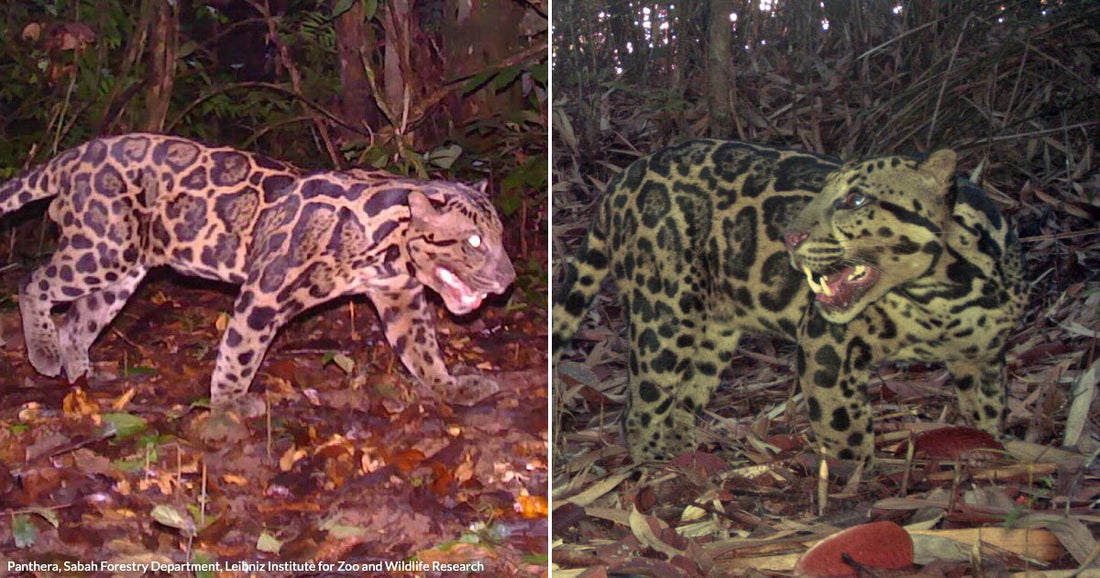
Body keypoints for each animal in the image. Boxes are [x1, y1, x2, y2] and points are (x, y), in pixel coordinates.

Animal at [0, 133, 515, 415]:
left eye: (500, 237)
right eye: (474, 242)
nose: (508, 280)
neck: (387, 247)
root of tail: (73, 155)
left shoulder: (401, 298)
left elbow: (422, 350)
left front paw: (451, 387)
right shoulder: (267, 291)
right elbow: (241, 349)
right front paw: (229, 401)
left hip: (123, 269)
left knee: (79, 318)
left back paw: (77, 368)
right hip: (103, 248)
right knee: (34, 283)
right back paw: (44, 353)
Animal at [553, 139, 1027, 462]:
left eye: (855, 199)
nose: (790, 236)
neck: (945, 294)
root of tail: (621, 180)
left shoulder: (985, 355)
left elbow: (989, 411)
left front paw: (991, 456)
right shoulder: (827, 342)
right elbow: (843, 425)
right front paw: (859, 485)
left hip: (713, 335)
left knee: (683, 398)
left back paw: (690, 454)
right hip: (666, 314)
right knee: (640, 405)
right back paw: (656, 464)